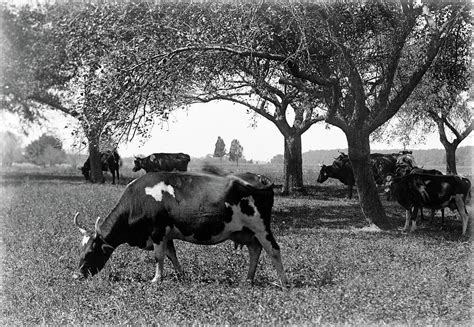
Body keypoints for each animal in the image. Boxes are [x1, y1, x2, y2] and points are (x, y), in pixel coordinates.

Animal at [73, 170, 288, 288]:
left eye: (91, 251)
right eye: (80, 250)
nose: (76, 275)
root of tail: (259, 177)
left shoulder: (157, 232)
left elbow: (159, 256)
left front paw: (156, 279)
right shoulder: (167, 235)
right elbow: (171, 255)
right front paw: (181, 275)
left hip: (261, 227)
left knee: (274, 250)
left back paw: (283, 282)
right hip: (247, 233)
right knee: (255, 251)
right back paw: (249, 279)